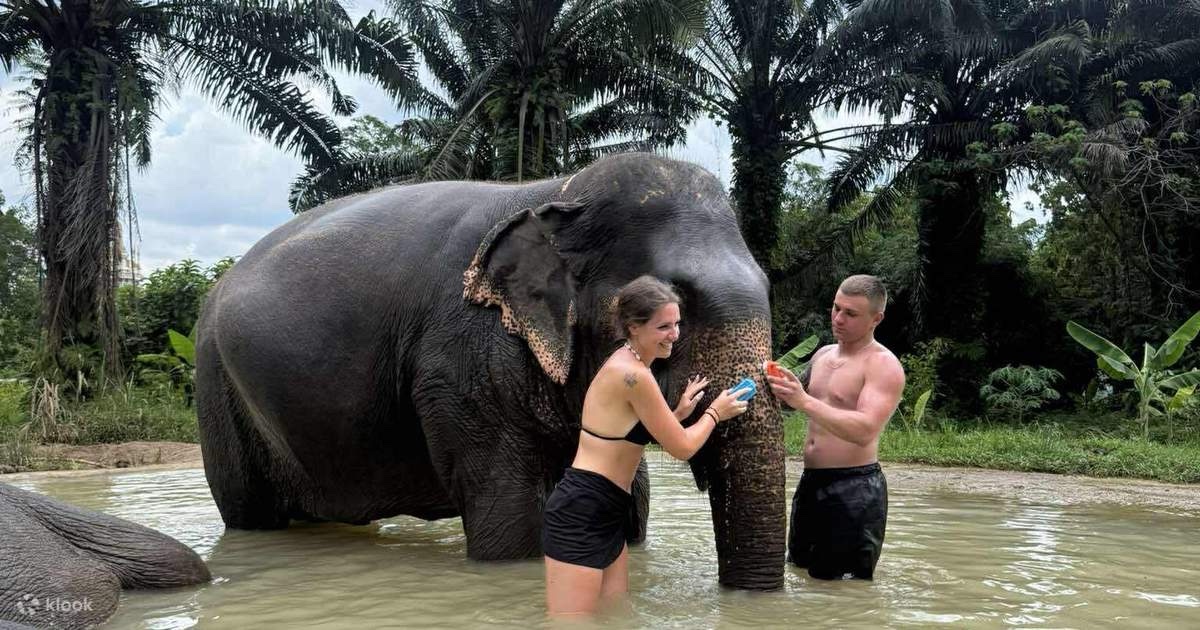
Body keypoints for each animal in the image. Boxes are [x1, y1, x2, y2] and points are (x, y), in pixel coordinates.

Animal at [195, 152, 787, 589]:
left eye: (768, 285)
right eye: (678, 307)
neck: (560, 193)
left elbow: (632, 505)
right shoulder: (460, 366)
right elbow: (510, 524)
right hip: (215, 384)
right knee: (250, 513)